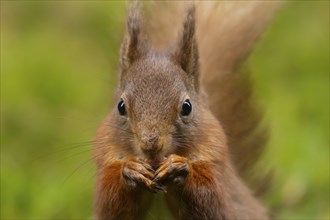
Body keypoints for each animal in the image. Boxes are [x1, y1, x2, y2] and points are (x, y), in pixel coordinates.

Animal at [94, 1, 280, 220]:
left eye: (187, 107)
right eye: (121, 106)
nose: (150, 144)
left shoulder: (215, 156)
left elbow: (214, 203)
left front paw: (180, 168)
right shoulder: (106, 159)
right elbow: (111, 205)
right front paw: (131, 169)